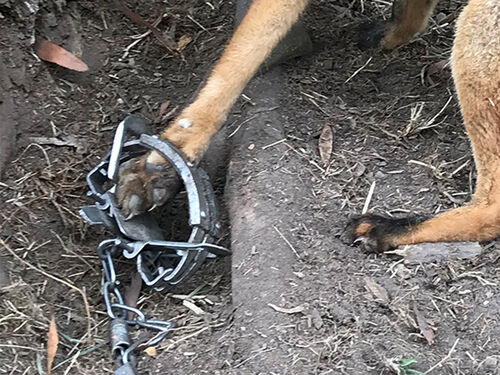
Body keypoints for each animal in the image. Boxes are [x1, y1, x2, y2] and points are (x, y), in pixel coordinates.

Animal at [114, 0, 500, 254]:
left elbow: (234, 62)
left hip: (477, 28)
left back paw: (389, 229)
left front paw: (169, 154)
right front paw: (166, 161)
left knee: (491, 210)